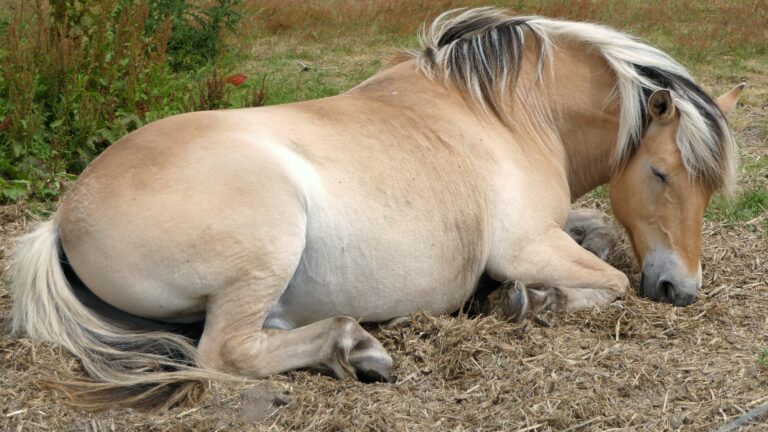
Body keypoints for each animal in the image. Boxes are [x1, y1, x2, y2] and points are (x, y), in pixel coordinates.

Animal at [9, 7, 744, 409]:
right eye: (660, 173)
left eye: (708, 188)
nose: (681, 289)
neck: (505, 111)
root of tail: (62, 219)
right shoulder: (526, 244)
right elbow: (611, 279)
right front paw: (535, 301)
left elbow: (598, 235)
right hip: (267, 249)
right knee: (227, 351)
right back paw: (355, 346)